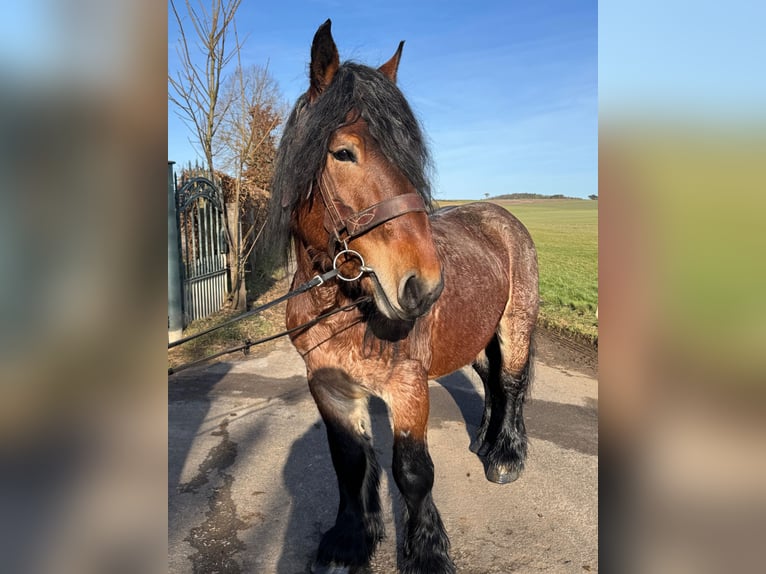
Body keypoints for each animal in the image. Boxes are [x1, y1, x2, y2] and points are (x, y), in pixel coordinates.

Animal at [265, 20, 539, 574]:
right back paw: (485, 441)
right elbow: (350, 465)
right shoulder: (329, 387)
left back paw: (505, 455)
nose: (424, 286)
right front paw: (349, 542)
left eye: (410, 157)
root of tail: (503, 218)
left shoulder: (408, 388)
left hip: (515, 326)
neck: (341, 308)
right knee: (493, 382)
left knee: (514, 384)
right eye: (343, 152)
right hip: (478, 337)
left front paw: (428, 553)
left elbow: (413, 473)